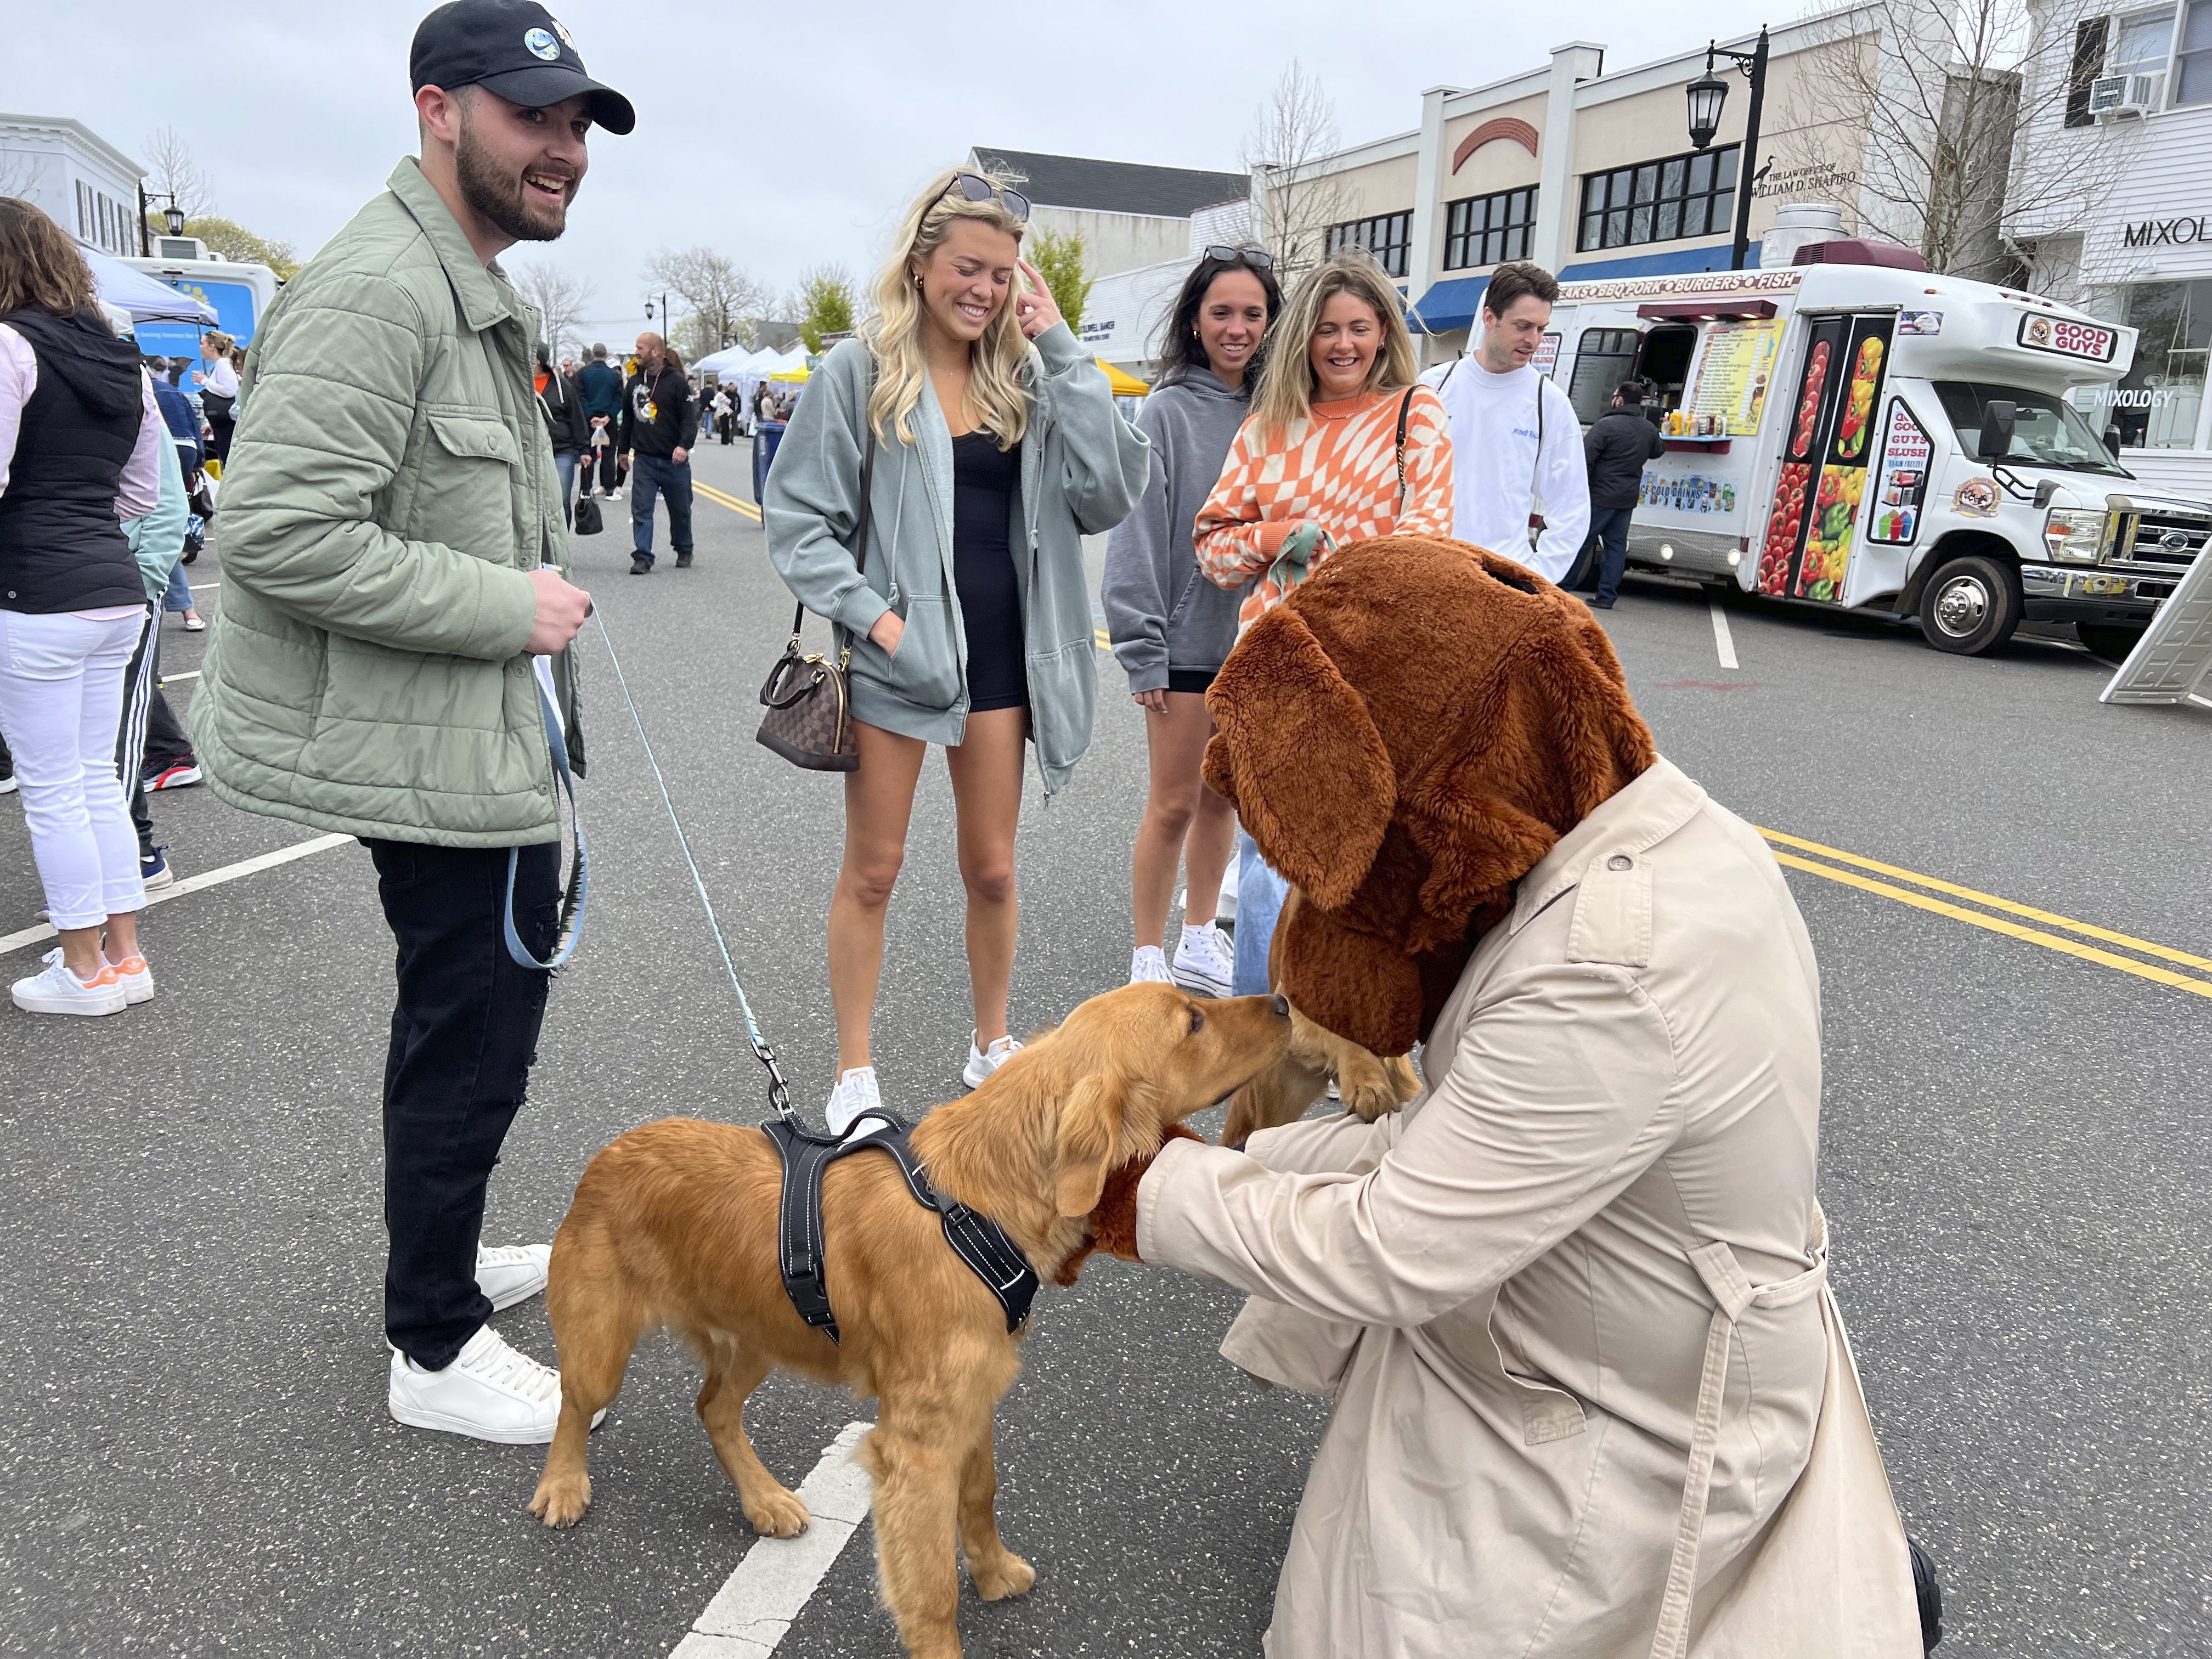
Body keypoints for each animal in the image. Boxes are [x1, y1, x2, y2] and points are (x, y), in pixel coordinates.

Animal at [533, 986, 1291, 1659]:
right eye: (1193, 1021)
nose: (1286, 1003)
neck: (975, 1209)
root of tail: (606, 1156)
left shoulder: (973, 1403)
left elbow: (980, 1498)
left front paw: (994, 1572)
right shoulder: (917, 1449)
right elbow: (929, 1588)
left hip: (756, 1337)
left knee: (713, 1408)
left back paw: (765, 1500)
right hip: (604, 1348)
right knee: (576, 1405)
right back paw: (563, 1487)